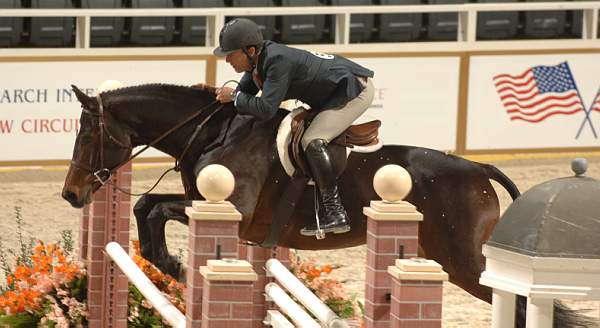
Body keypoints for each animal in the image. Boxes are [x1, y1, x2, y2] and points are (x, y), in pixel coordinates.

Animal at [62, 84, 592, 326]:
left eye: (88, 135)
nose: (71, 194)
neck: (213, 134)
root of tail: (477, 169)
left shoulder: (227, 206)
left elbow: (154, 209)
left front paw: (175, 265)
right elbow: (146, 207)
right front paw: (170, 264)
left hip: (464, 261)